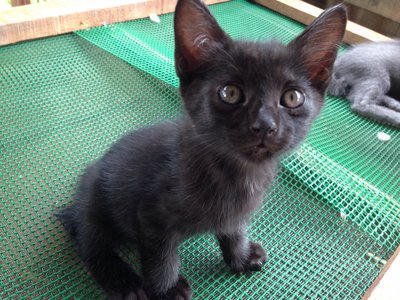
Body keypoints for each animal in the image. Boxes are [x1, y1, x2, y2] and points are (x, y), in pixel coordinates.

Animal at [57, 1, 346, 298]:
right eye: (230, 93)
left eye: (292, 97)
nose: (265, 126)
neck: (238, 174)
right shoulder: (151, 217)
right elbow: (161, 258)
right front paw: (167, 289)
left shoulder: (235, 215)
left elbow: (234, 230)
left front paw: (240, 257)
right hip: (95, 205)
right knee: (90, 243)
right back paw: (123, 281)